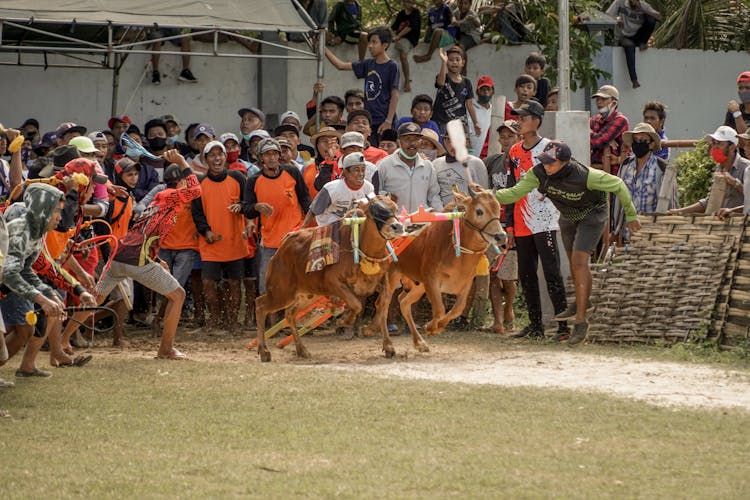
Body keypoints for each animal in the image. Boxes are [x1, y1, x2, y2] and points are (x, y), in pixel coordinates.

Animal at [256, 193, 406, 362]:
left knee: (290, 313)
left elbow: (382, 306)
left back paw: (301, 349)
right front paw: (344, 320)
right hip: (281, 293)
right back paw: (264, 351)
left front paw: (386, 344)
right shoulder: (333, 283)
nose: (397, 227)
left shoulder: (383, 282)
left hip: (306, 295)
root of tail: (281, 248)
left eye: (394, 208)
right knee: (260, 305)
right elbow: (356, 305)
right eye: (373, 211)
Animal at [390, 188, 508, 348]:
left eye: (498, 209)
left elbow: (457, 309)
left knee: (403, 302)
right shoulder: (431, 281)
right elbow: (440, 310)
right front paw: (430, 327)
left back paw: (419, 342)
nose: (501, 236)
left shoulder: (466, 283)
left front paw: (437, 326)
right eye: (479, 211)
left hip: (417, 286)